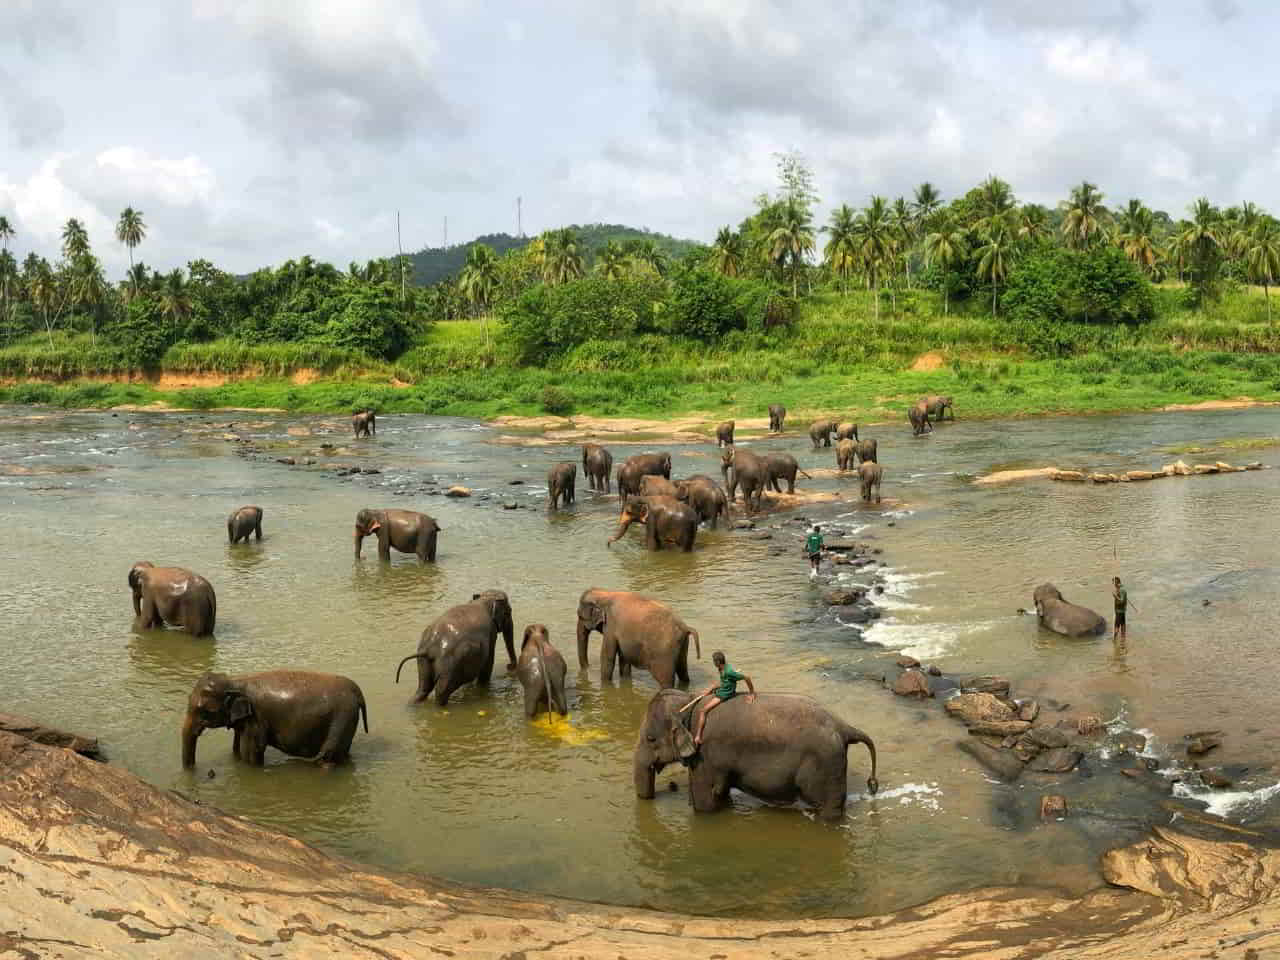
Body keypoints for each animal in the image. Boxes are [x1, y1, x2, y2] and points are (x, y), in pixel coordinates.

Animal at [181, 670, 367, 768]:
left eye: (204, 711)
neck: (235, 681)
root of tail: (357, 690)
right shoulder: (245, 720)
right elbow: (237, 748)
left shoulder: (256, 719)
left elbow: (251, 752)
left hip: (341, 719)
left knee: (327, 757)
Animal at [633, 689, 878, 821]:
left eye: (650, 739)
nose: (667, 790)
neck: (690, 700)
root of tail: (844, 727)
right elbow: (719, 794)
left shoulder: (704, 754)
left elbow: (705, 800)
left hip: (826, 765)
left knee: (828, 807)